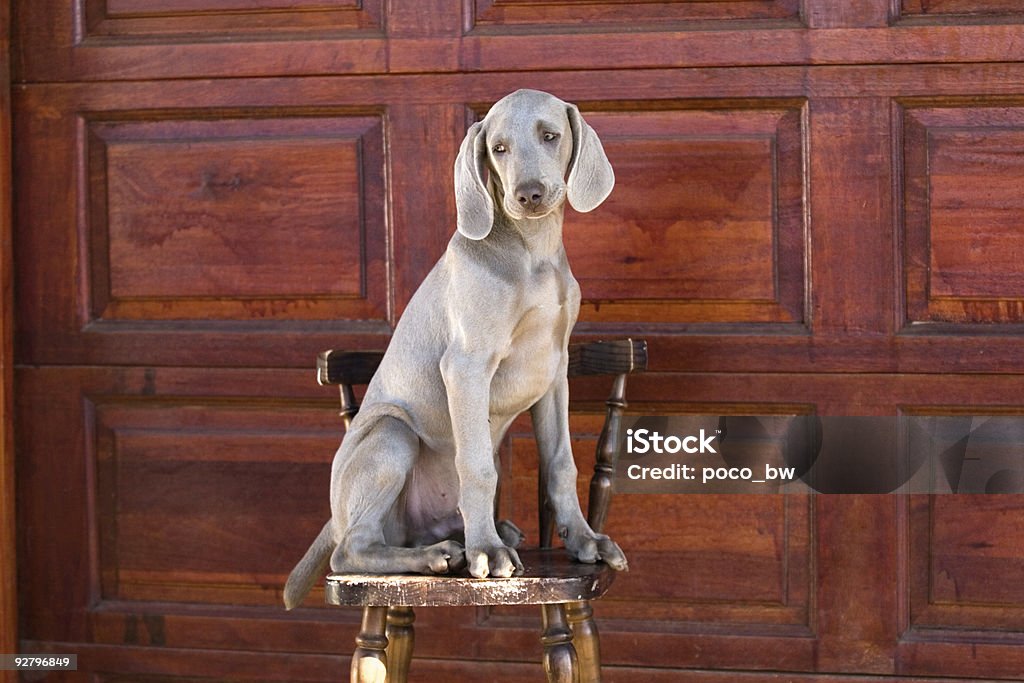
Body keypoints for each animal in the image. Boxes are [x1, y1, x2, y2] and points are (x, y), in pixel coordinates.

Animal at [284, 89, 626, 610]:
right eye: (498, 149)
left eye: (550, 135)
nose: (527, 194)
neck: (532, 253)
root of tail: (335, 516)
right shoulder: (466, 366)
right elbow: (477, 468)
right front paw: (487, 551)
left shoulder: (554, 373)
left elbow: (560, 463)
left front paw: (585, 539)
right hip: (390, 433)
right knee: (350, 551)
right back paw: (446, 553)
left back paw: (468, 538)